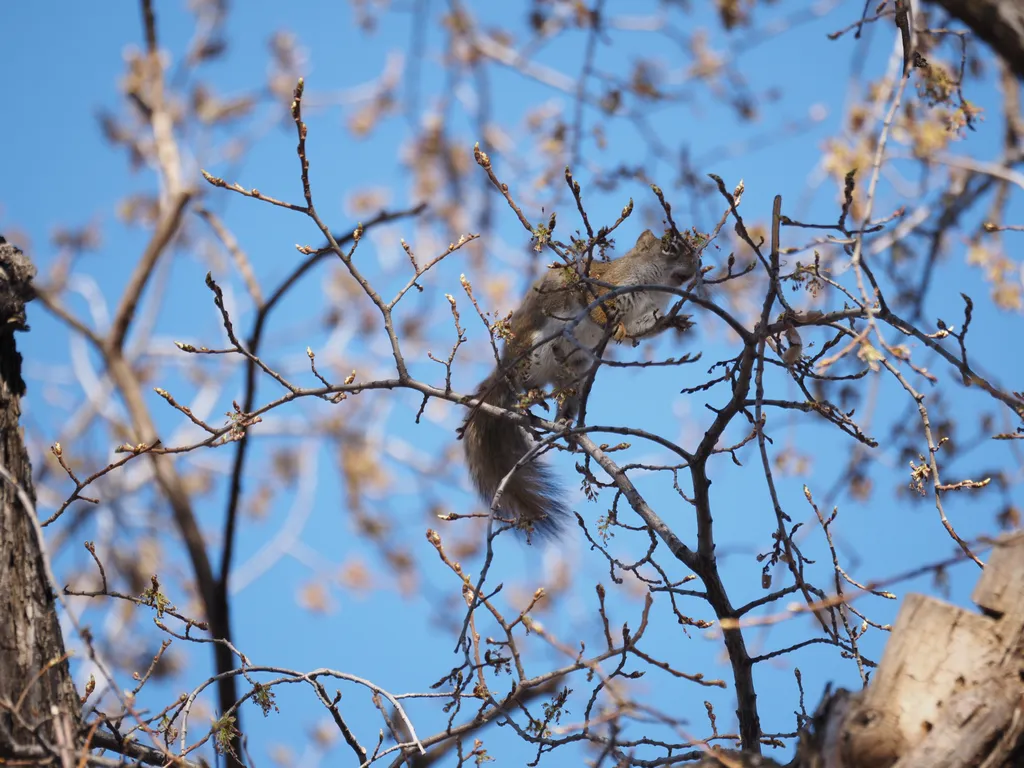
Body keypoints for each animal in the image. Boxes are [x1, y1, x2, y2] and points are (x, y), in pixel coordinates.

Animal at [461, 228, 700, 539]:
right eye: (669, 248)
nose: (696, 266)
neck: (654, 288)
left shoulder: (647, 314)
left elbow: (642, 331)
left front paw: (674, 322)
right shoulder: (604, 284)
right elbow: (594, 304)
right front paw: (612, 324)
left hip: (574, 372)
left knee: (564, 395)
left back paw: (564, 421)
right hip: (533, 352)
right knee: (522, 384)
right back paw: (532, 395)